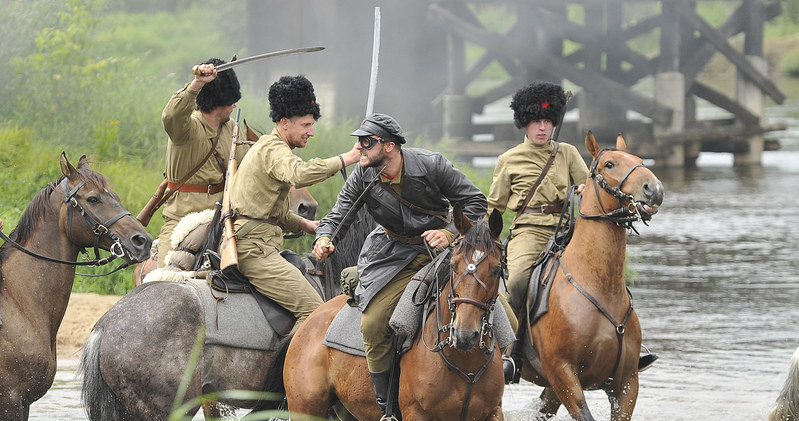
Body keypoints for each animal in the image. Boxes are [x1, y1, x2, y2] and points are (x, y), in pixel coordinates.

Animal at [0, 154, 152, 420]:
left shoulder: (23, 404)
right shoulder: (10, 401)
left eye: (116, 196)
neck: (17, 302)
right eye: (93, 199)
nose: (142, 241)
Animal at [276, 206, 506, 420]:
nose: (464, 335)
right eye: (453, 265)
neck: (464, 362)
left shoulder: (493, 412)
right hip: (305, 408)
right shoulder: (416, 413)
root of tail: (309, 321)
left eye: (496, 269)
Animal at [520, 132, 664, 420]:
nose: (654, 189)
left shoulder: (626, 383)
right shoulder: (563, 374)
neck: (598, 286)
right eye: (609, 164)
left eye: (640, 160)